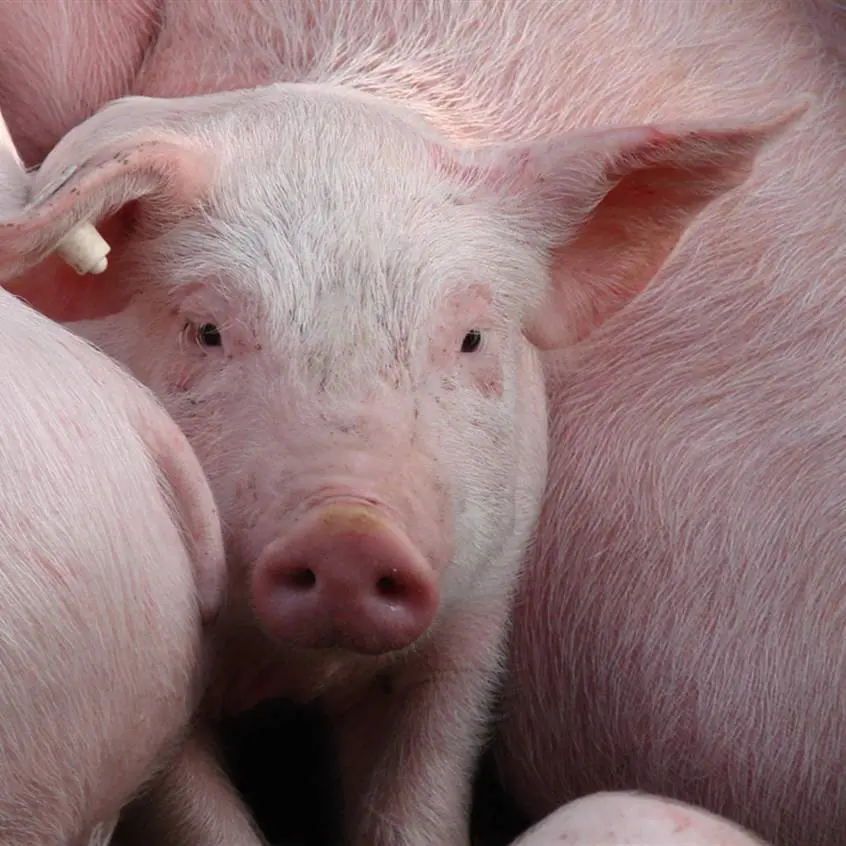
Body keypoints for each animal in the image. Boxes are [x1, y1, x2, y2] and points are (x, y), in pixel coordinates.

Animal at [0, 2, 841, 845]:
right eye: (206, 331)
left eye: (471, 338)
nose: (348, 532)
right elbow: (192, 806)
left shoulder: (482, 605)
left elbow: (427, 781)